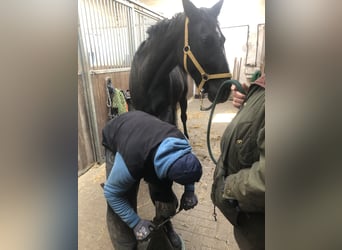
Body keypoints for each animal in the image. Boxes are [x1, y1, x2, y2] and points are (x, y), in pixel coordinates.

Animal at [130, 0, 231, 138]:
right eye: (205, 40)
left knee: (183, 117)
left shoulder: (165, 111)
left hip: (182, 99)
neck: (146, 80)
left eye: (224, 39)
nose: (226, 89)